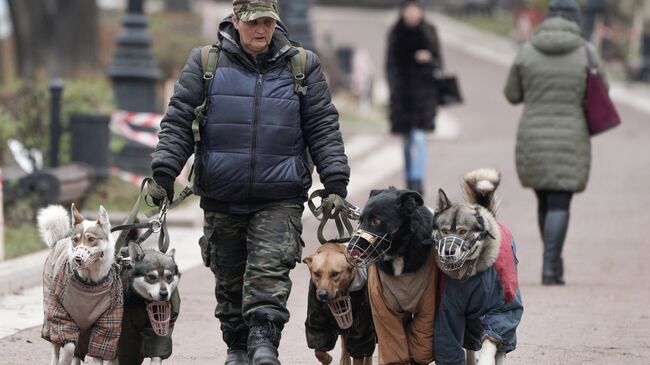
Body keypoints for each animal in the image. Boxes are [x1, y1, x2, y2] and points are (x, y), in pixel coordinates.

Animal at [39, 203, 123, 364]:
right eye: (76, 240)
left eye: (91, 239)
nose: (77, 258)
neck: (89, 284)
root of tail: (58, 241)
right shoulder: (61, 313)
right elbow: (68, 346)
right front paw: (64, 360)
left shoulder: (107, 322)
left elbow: (98, 351)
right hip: (49, 309)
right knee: (55, 347)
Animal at [432, 169, 524, 364]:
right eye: (444, 230)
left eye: (462, 231)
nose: (448, 252)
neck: (469, 274)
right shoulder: (447, 312)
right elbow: (449, 342)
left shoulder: (501, 309)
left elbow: (492, 339)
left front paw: (487, 358)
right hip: (471, 317)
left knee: (502, 345)